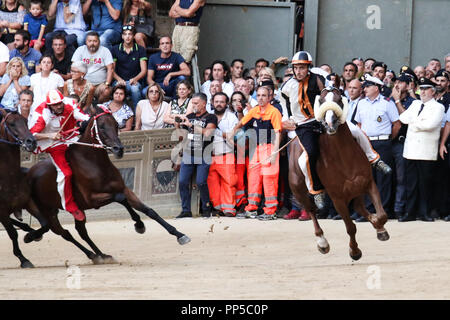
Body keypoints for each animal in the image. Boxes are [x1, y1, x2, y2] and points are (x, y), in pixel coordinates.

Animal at [23, 106, 191, 264]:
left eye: (117, 124)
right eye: (102, 127)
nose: (119, 149)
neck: (94, 163)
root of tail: (28, 172)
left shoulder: (123, 188)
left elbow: (149, 211)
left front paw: (180, 235)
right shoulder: (92, 199)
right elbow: (121, 198)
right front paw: (139, 224)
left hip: (68, 210)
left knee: (80, 231)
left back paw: (101, 255)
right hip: (46, 210)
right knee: (63, 232)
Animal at [290, 87, 388, 260]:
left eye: (338, 100)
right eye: (321, 101)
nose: (330, 124)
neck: (343, 157)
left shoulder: (368, 183)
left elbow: (382, 215)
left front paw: (380, 229)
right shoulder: (338, 199)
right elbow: (350, 227)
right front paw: (354, 251)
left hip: (356, 190)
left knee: (359, 207)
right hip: (298, 189)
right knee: (311, 210)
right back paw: (322, 242)